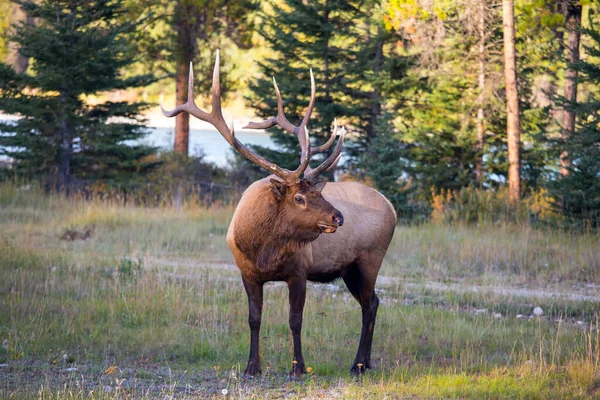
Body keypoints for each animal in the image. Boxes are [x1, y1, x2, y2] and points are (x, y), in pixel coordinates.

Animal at [162, 51, 396, 376]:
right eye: (299, 197)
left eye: (319, 193)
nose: (338, 217)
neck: (262, 249)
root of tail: (391, 206)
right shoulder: (247, 272)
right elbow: (254, 319)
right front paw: (252, 367)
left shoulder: (299, 271)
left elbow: (295, 321)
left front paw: (298, 367)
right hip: (350, 268)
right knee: (372, 301)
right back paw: (367, 361)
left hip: (369, 259)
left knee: (370, 303)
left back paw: (358, 363)